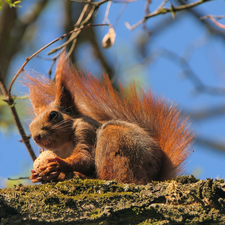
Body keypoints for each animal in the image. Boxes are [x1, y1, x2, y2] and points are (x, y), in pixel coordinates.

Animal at [25, 52, 193, 185]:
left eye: (53, 115)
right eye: (30, 125)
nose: (36, 137)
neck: (64, 145)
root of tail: (154, 176)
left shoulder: (86, 130)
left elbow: (85, 157)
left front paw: (60, 165)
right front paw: (37, 176)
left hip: (117, 140)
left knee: (123, 178)